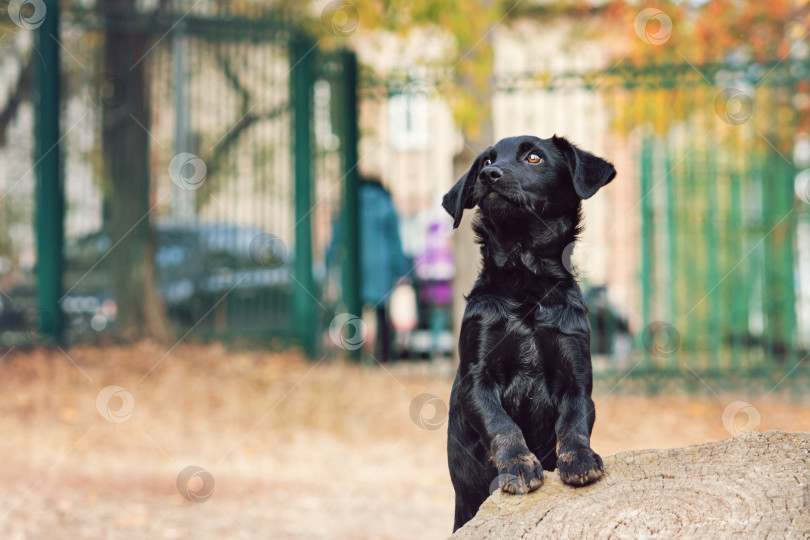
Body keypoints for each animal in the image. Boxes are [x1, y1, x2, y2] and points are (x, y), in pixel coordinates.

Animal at [442, 135, 612, 532]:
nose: (488, 174)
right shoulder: (476, 379)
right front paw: (518, 464)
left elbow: (573, 423)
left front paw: (579, 458)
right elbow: (502, 425)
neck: (526, 283)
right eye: (486, 161)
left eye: (534, 157)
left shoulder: (577, 379)